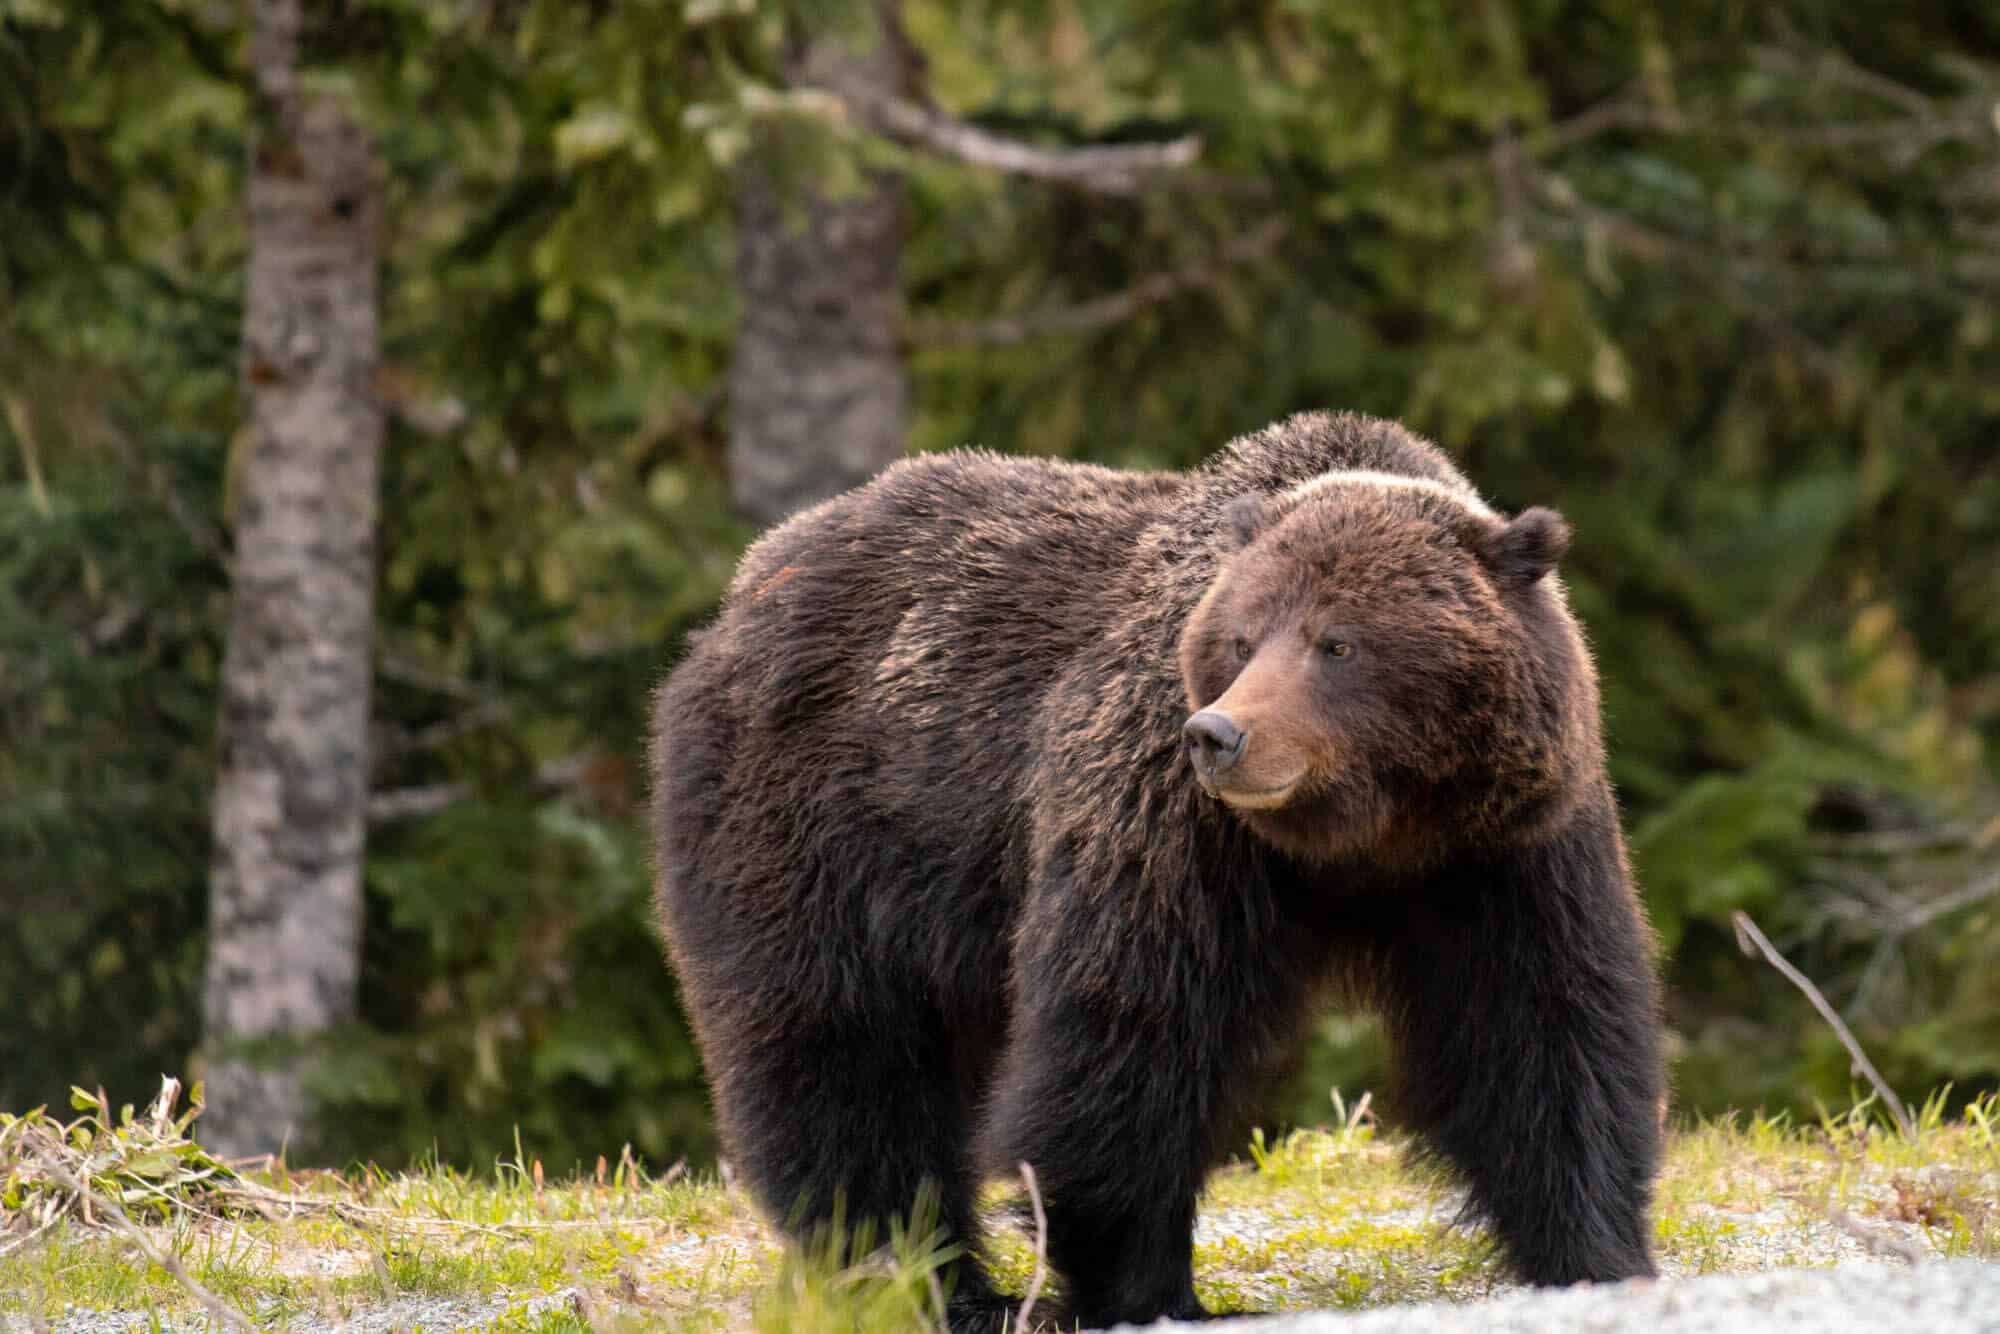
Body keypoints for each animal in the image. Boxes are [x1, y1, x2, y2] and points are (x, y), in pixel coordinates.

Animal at [649, 411, 1664, 1330]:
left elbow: (1543, 1029)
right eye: (1243, 637)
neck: (1363, 839)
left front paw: (1596, 1252)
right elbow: (1132, 1033)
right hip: (816, 828)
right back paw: (928, 1281)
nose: (1220, 735)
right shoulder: (1173, 824)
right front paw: (1148, 1288)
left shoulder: (1505, 851)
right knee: (845, 1053)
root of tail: (747, 587)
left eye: (1338, 641)